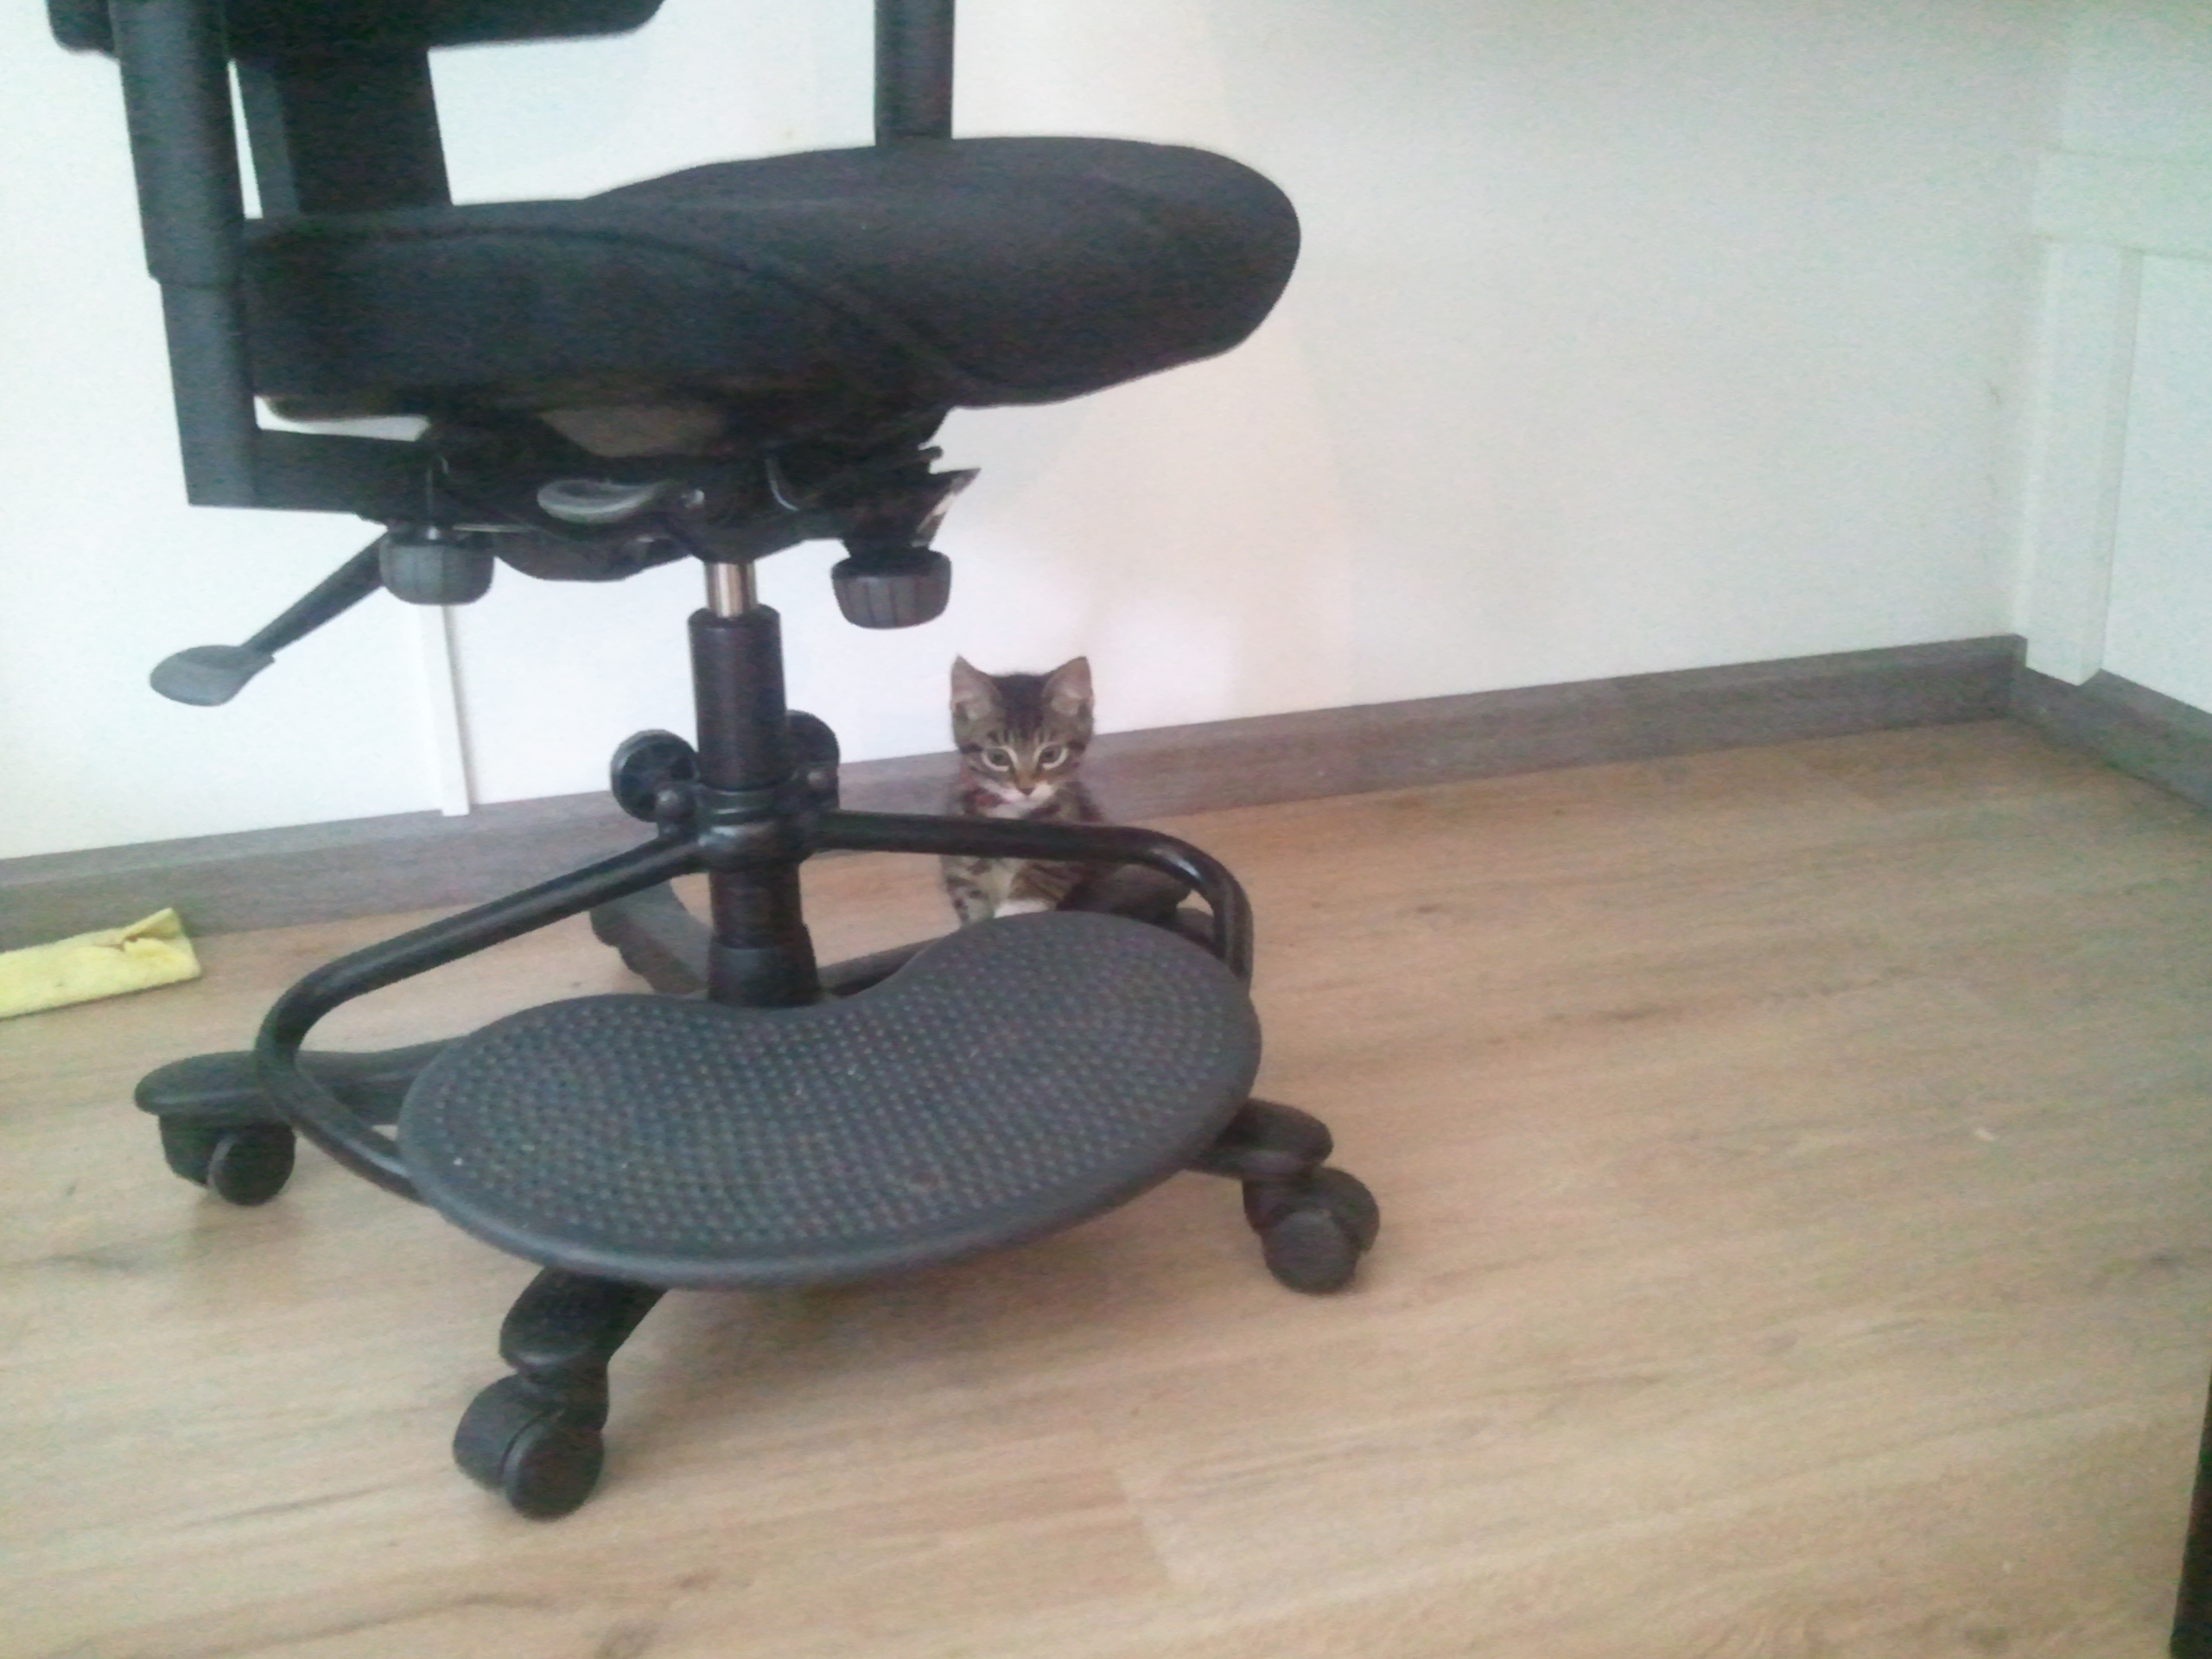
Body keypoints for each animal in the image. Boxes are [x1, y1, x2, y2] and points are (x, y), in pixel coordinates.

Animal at [940, 655, 1105, 925]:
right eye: (997, 757)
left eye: (1050, 754)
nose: (1026, 788)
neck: (1012, 814)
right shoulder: (959, 870)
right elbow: (970, 898)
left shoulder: (1078, 838)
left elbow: (1046, 870)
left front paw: (1017, 908)